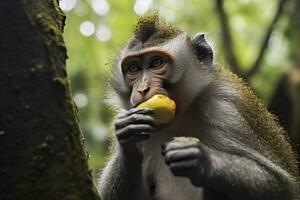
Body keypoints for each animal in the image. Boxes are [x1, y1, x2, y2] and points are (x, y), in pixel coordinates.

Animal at [97, 13, 298, 199]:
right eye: (133, 69)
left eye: (156, 63)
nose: (142, 89)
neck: (181, 115)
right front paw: (128, 135)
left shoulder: (226, 108)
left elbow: (283, 185)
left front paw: (204, 160)